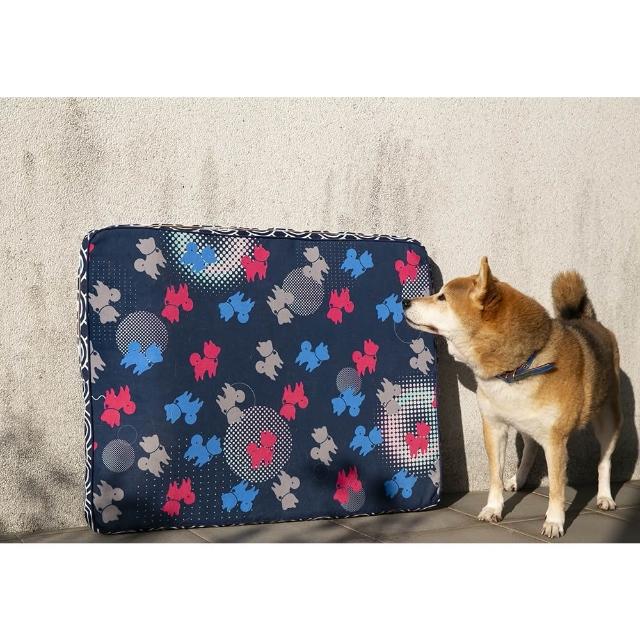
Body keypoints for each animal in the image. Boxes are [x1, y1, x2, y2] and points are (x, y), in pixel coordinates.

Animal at [403, 257, 621, 538]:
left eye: (442, 297)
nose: (404, 301)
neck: (516, 369)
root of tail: (590, 321)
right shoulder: (494, 427)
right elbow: (495, 475)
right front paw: (493, 508)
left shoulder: (555, 440)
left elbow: (557, 487)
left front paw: (554, 521)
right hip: (524, 423)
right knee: (530, 447)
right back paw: (518, 479)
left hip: (608, 422)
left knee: (604, 462)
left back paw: (605, 497)